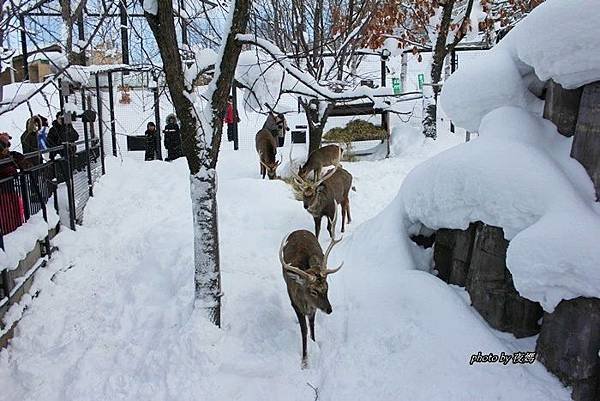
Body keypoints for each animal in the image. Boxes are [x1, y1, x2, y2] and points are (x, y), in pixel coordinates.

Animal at [280, 214, 344, 368]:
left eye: (327, 287)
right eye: (313, 291)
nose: (329, 310)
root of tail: (300, 229)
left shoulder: (313, 308)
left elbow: (312, 325)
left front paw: (314, 343)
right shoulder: (295, 304)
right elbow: (304, 331)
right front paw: (304, 361)